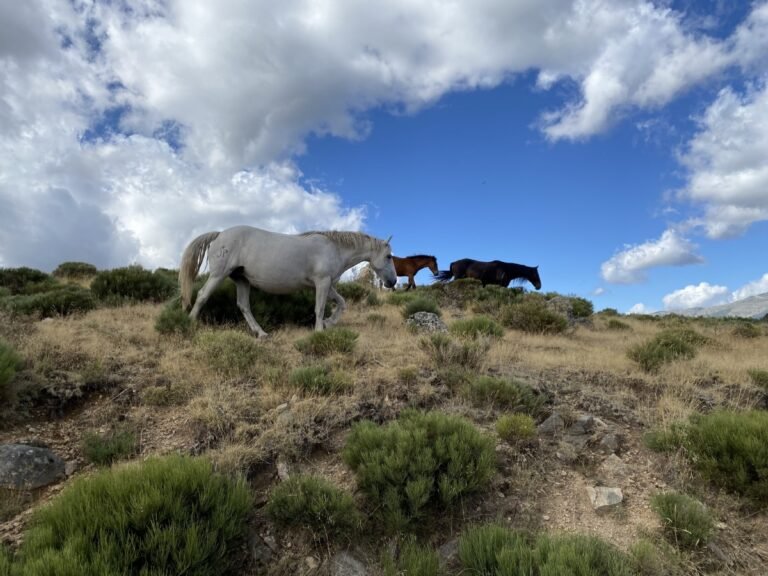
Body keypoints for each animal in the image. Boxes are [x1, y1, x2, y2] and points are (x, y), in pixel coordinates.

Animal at [179, 226, 397, 337]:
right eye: (388, 256)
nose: (393, 282)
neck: (334, 248)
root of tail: (219, 235)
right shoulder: (322, 282)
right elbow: (319, 308)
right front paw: (319, 331)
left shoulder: (326, 285)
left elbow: (342, 303)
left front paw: (329, 323)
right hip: (219, 275)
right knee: (202, 295)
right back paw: (188, 324)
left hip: (242, 280)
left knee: (243, 306)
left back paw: (261, 333)